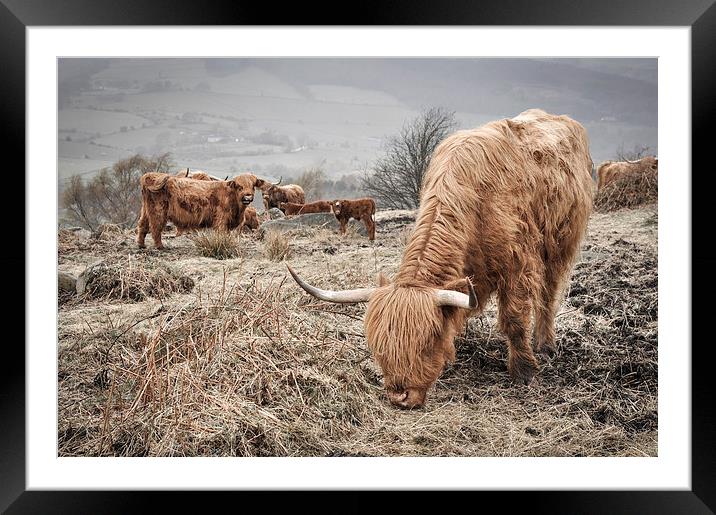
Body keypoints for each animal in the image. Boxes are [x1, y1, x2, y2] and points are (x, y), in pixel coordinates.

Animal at [286, 110, 592, 412]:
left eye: (426, 341)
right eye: (380, 346)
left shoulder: (517, 264)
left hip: (560, 242)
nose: (400, 396)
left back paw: (545, 344)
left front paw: (524, 372)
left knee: (548, 293)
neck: (472, 204)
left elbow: (514, 320)